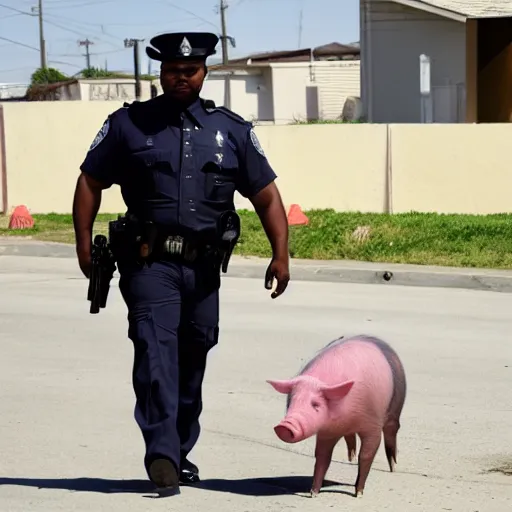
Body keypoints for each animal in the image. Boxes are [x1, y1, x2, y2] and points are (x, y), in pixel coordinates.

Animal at [266, 334, 406, 498]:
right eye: (291, 402)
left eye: (316, 405)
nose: (284, 426)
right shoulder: (327, 432)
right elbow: (322, 457)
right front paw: (313, 493)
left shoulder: (373, 424)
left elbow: (366, 454)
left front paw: (358, 494)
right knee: (350, 437)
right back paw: (350, 459)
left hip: (396, 407)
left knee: (391, 431)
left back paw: (393, 468)